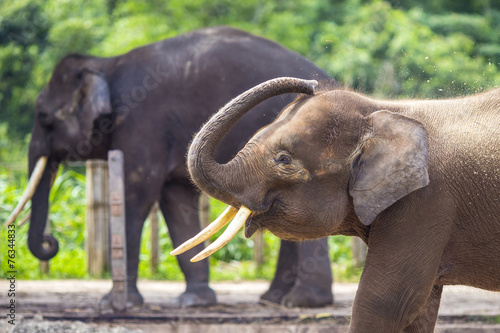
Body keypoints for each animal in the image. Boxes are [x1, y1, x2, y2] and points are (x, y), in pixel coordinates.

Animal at [5, 27, 336, 308]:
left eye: (43, 116)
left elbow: (137, 195)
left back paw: (302, 303)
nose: (50, 242)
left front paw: (114, 305)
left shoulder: (141, 124)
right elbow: (175, 201)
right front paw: (194, 302)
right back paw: (273, 300)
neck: (106, 65)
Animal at [176, 77, 500, 330]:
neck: (383, 110)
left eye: (283, 160)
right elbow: (419, 309)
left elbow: (384, 301)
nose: (311, 83)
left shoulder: (425, 202)